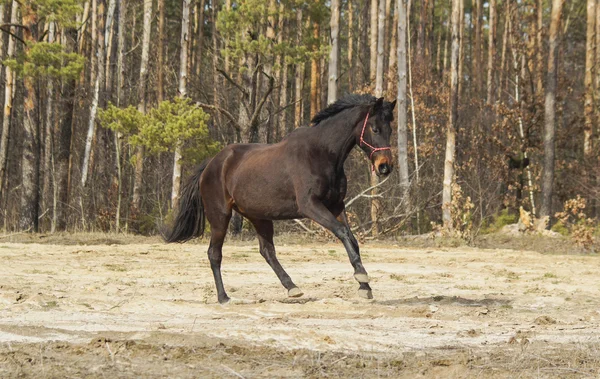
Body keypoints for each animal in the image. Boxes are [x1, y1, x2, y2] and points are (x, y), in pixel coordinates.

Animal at [166, 95, 396, 306]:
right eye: (375, 129)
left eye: (390, 130)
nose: (385, 166)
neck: (321, 153)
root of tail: (212, 164)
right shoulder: (311, 206)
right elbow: (342, 232)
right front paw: (362, 277)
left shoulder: (336, 206)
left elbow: (352, 238)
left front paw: (364, 287)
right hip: (220, 216)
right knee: (215, 253)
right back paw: (224, 298)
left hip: (259, 217)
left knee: (267, 252)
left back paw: (292, 287)